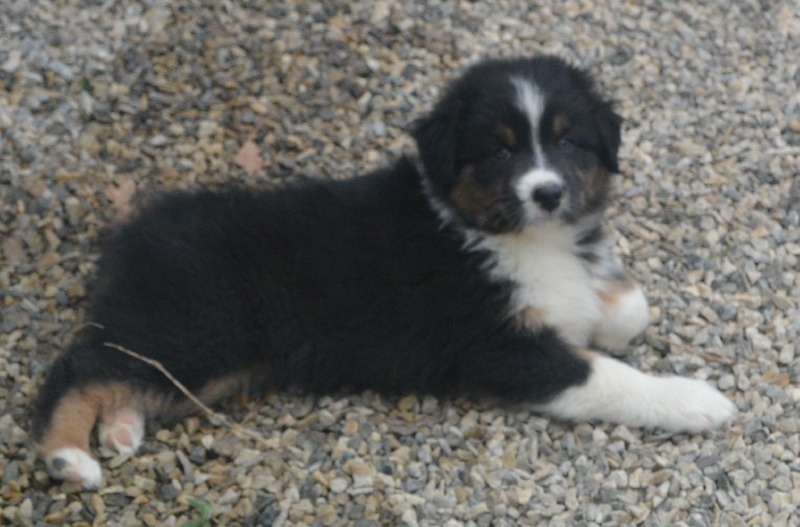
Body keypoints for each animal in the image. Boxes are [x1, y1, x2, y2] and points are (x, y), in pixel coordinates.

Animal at [31, 55, 736, 488]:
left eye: (568, 141)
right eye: (500, 149)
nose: (547, 194)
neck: (498, 233)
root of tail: (131, 235)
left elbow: (627, 307)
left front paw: (606, 309)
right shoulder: (500, 350)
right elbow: (609, 376)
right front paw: (696, 401)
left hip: (192, 357)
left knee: (113, 370)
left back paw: (121, 425)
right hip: (195, 330)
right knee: (74, 369)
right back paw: (68, 456)